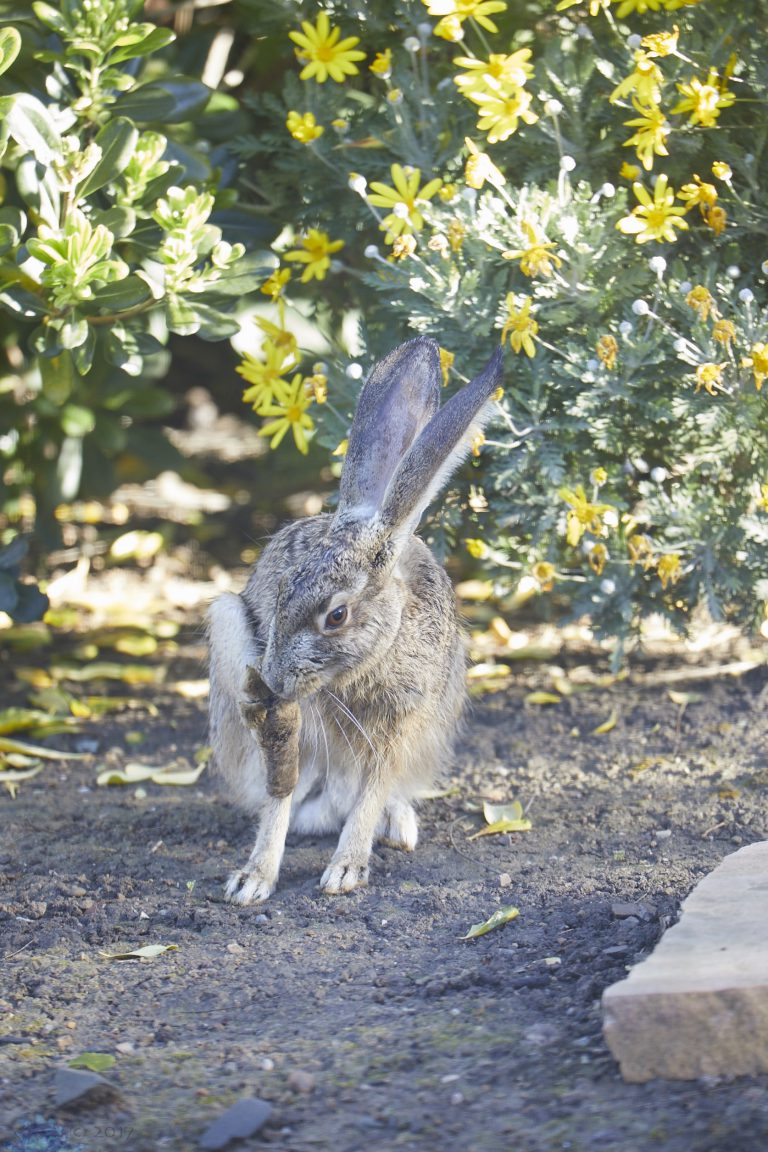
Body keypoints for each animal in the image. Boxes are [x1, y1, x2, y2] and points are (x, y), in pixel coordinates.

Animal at [207, 336, 503, 903]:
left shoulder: (403, 719)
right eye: (282, 591)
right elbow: (280, 795)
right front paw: (254, 880)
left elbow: (374, 788)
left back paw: (398, 827)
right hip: (226, 623)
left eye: (336, 616)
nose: (275, 679)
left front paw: (346, 869)